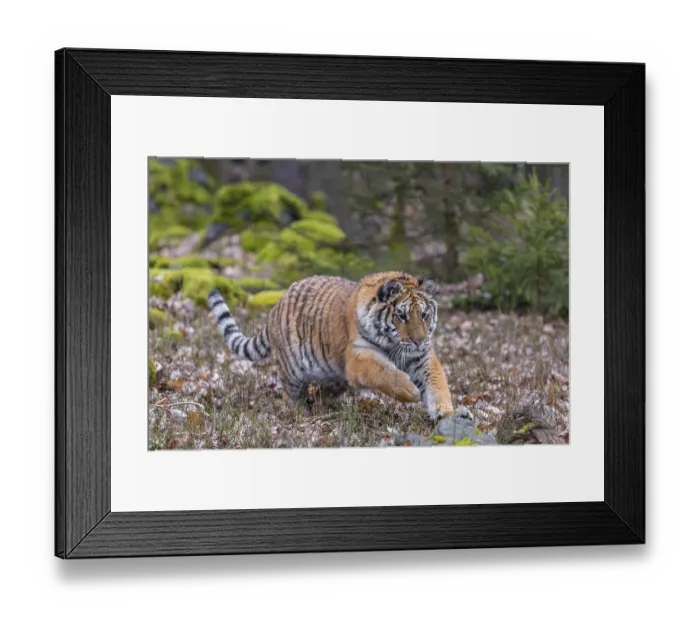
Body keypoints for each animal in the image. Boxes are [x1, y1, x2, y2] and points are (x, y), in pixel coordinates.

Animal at [207, 270, 455, 419]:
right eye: (401, 316)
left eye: (424, 315)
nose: (419, 340)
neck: (392, 344)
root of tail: (276, 306)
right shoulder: (358, 357)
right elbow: (384, 372)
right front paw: (410, 391)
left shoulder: (421, 357)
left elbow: (437, 382)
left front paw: (447, 413)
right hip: (293, 370)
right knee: (289, 393)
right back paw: (298, 412)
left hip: (334, 377)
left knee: (322, 393)